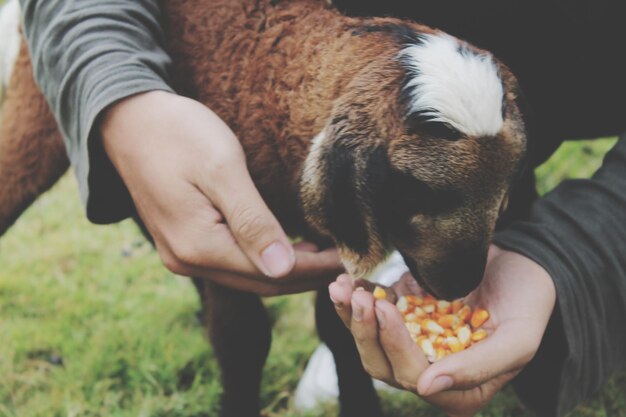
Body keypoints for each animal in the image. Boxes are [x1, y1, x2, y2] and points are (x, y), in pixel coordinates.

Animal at [0, 0, 528, 416]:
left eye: (505, 185)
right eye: (415, 190)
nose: (461, 284)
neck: (272, 76)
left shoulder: (326, 231)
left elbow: (335, 327)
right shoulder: (222, 226)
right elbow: (242, 338)